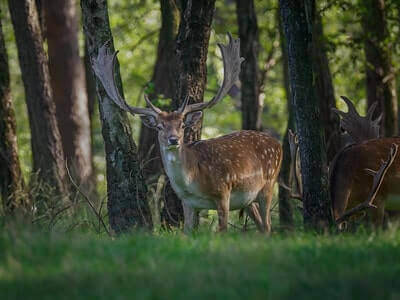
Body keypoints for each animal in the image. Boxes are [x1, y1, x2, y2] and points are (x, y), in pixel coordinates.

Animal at [92, 34, 282, 232]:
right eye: (159, 127)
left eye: (182, 125)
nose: (173, 140)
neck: (193, 182)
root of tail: (278, 143)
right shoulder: (188, 203)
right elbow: (188, 232)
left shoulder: (223, 191)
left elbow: (222, 230)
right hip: (248, 199)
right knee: (261, 225)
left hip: (269, 183)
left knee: (268, 224)